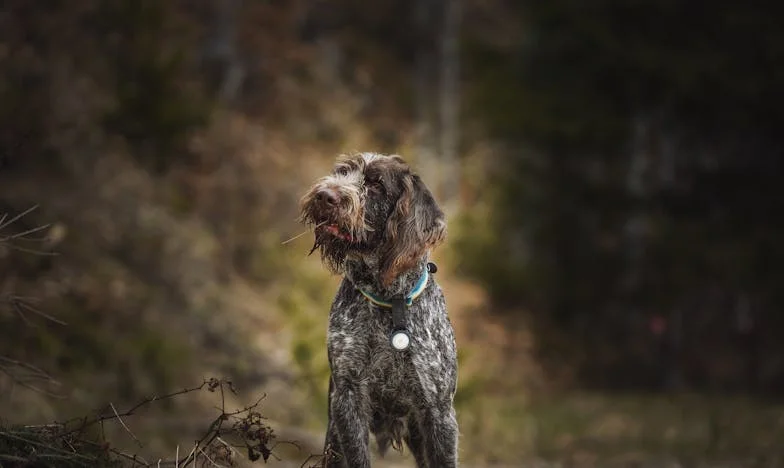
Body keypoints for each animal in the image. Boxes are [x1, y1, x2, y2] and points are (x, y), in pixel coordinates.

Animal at [300, 152, 460, 466]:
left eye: (376, 185)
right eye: (342, 172)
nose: (325, 195)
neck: (391, 302)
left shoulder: (438, 412)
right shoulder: (347, 397)